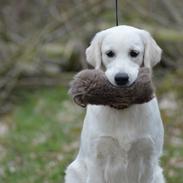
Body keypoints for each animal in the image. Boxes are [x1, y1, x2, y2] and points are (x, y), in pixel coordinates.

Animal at [65, 25, 165, 183]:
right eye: (110, 53)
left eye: (134, 53)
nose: (121, 78)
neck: (122, 106)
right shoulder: (96, 158)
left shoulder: (149, 158)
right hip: (73, 171)